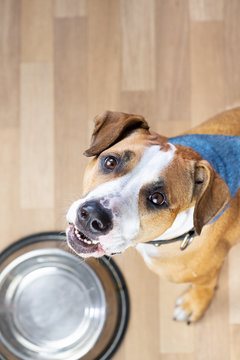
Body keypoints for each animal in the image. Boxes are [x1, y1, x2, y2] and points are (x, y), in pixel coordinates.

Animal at [65, 107, 240, 324]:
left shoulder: (207, 271)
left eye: (157, 198)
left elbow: (205, 285)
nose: (92, 216)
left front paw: (194, 305)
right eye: (110, 161)